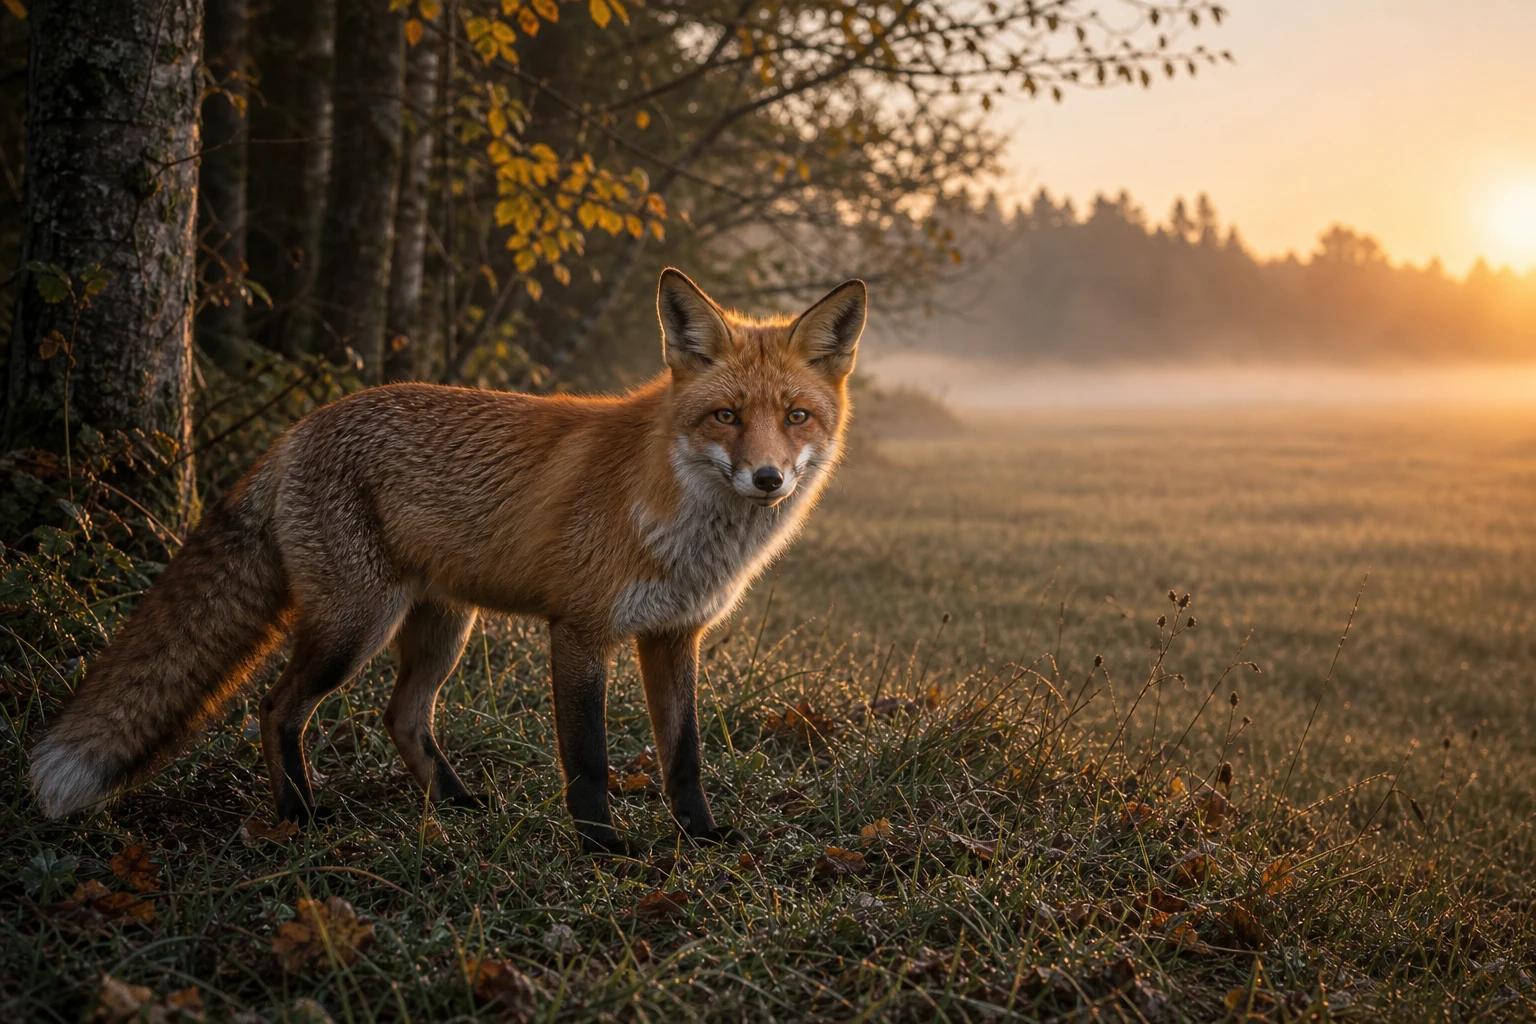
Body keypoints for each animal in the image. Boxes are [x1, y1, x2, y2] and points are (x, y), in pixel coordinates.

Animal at [29, 268, 867, 851]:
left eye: (797, 416)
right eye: (725, 415)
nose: (768, 478)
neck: (682, 523)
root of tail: (298, 429)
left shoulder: (673, 636)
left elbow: (684, 755)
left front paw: (699, 835)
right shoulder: (581, 631)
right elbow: (588, 759)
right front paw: (602, 848)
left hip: (441, 628)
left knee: (402, 716)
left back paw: (455, 804)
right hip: (354, 627)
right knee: (277, 708)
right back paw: (302, 816)